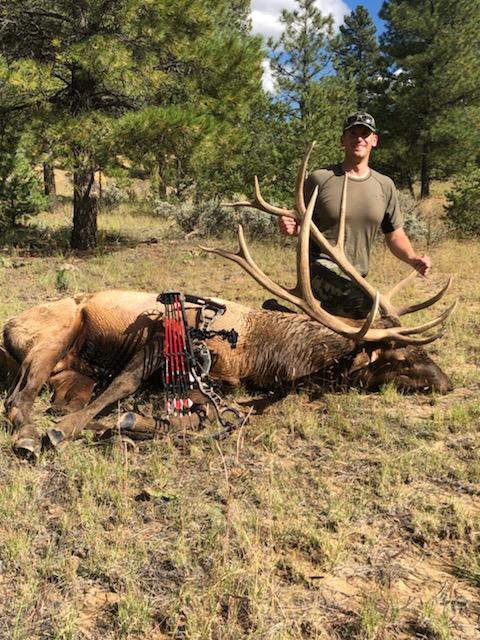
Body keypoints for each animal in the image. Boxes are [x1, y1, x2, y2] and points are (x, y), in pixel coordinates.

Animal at [1, 143, 455, 458]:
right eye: (402, 358)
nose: (447, 384)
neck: (261, 352)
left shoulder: (219, 382)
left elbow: (192, 417)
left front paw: (122, 424)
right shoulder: (161, 335)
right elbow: (122, 386)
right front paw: (67, 429)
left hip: (71, 372)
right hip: (55, 333)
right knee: (18, 398)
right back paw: (29, 436)